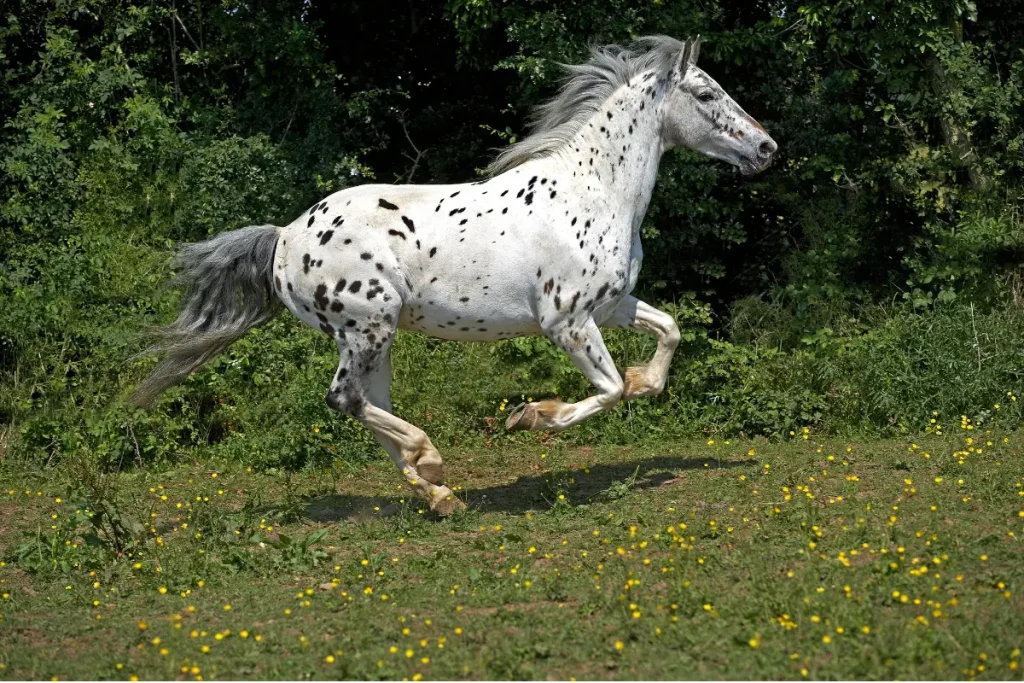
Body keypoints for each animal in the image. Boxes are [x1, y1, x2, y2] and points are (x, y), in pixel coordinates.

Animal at [132, 35, 777, 515]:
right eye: (705, 92)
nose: (767, 148)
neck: (591, 193)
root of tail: (285, 238)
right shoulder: (567, 322)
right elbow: (609, 389)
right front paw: (531, 416)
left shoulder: (612, 306)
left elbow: (668, 333)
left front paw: (646, 380)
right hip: (368, 328)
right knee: (344, 399)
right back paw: (432, 458)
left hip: (373, 338)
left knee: (368, 405)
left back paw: (438, 492)